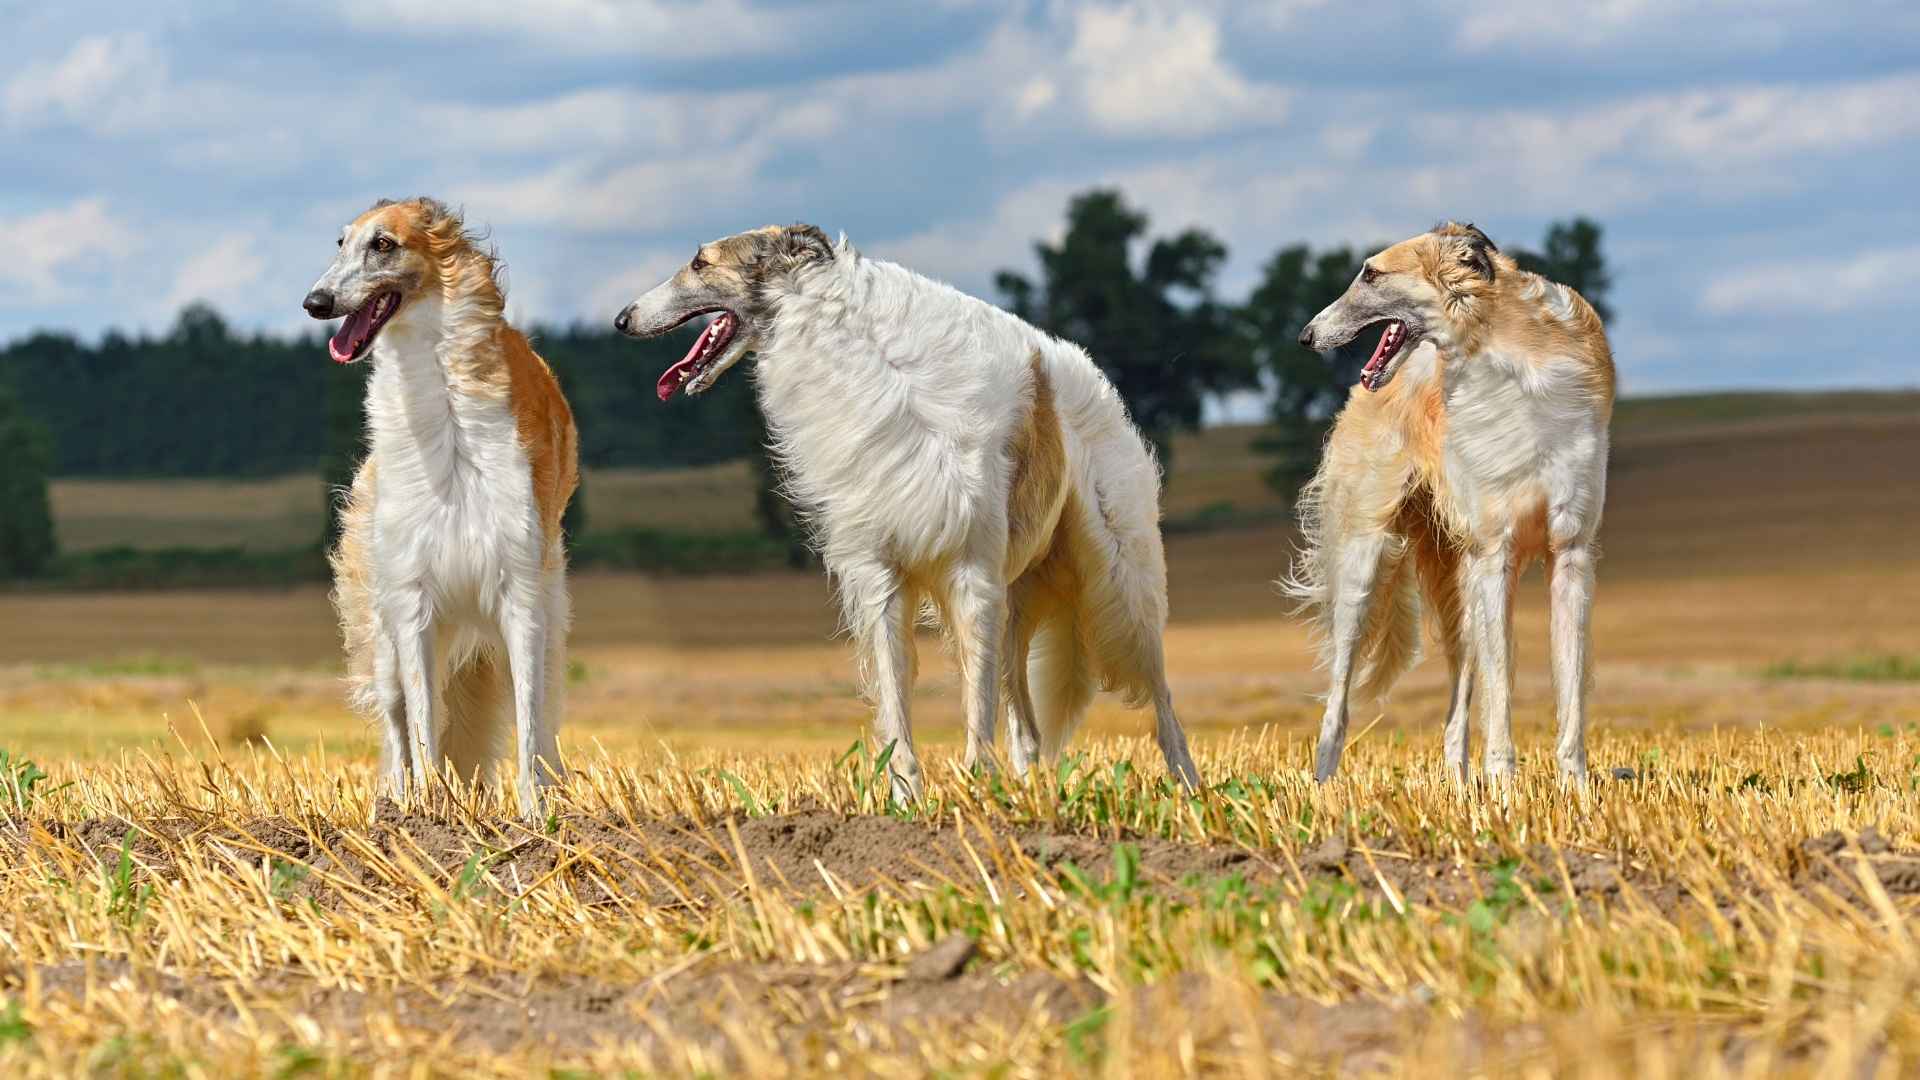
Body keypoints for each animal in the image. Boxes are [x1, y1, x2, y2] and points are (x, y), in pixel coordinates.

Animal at [303, 197, 576, 810]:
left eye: (383, 244)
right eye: (339, 243)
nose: (315, 302)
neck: (448, 414)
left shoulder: (520, 592)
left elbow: (528, 725)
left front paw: (534, 814)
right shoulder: (414, 597)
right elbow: (423, 721)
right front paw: (431, 814)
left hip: (548, 610)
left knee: (544, 716)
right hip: (380, 628)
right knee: (398, 720)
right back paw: (396, 802)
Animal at [614, 224, 1190, 799]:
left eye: (700, 262)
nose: (621, 319)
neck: (858, 354)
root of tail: (1089, 372)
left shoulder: (970, 574)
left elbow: (975, 713)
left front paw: (974, 788)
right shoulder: (879, 576)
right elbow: (896, 706)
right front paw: (908, 798)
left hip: (1120, 583)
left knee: (1162, 703)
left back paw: (1187, 788)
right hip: (1016, 600)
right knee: (1025, 729)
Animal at [1282, 222, 1612, 780]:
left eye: (1371, 273)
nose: (1306, 335)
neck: (1511, 361)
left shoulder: (1569, 553)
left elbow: (1569, 695)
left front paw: (1575, 789)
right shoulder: (1496, 552)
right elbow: (1500, 699)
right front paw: (1504, 784)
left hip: (1462, 585)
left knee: (1457, 711)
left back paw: (1458, 783)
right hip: (1365, 565)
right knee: (1338, 696)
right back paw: (1324, 783)